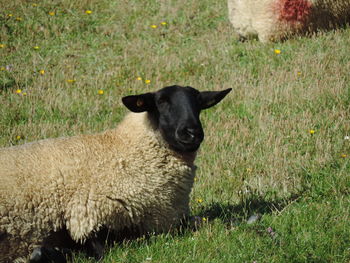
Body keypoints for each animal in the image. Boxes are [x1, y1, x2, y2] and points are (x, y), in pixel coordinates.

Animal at [0, 85, 232, 262]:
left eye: (198, 104)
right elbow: (100, 250)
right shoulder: (88, 217)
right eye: (161, 102)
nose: (192, 133)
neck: (126, 151)